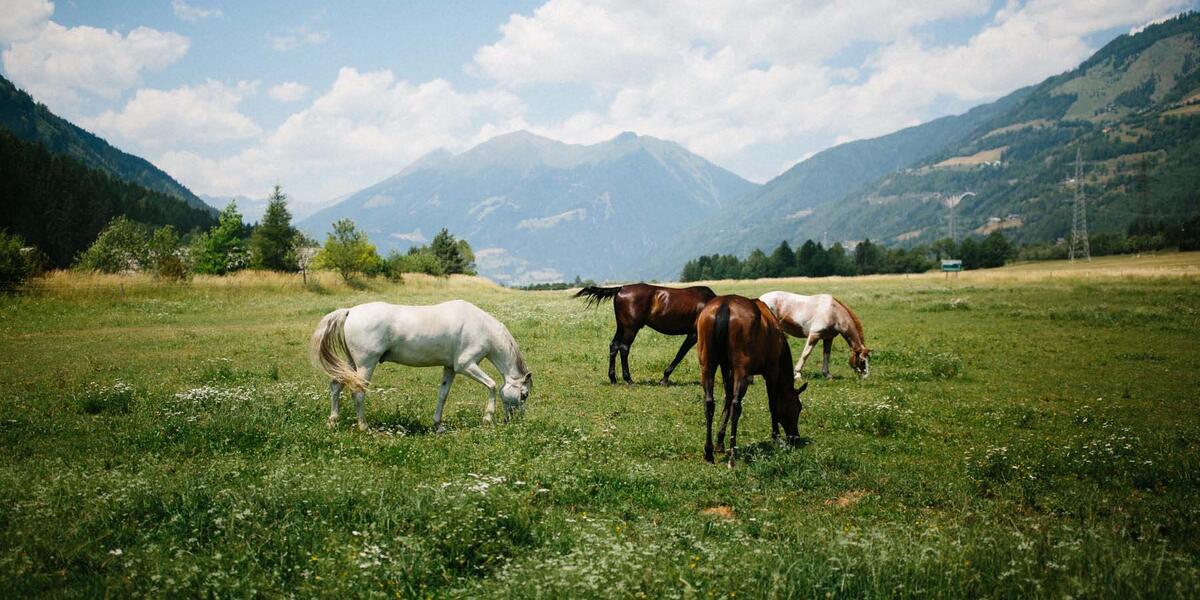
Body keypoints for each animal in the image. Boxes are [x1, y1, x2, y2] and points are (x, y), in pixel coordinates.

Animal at [310, 300, 532, 432]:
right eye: (524, 395)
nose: (515, 421)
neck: (481, 327)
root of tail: (350, 311)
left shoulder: (450, 368)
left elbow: (443, 395)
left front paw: (439, 426)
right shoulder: (465, 365)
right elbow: (492, 385)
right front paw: (487, 418)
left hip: (351, 364)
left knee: (336, 386)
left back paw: (332, 421)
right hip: (365, 364)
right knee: (358, 392)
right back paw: (364, 427)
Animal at [573, 283, 716, 385]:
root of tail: (621, 288)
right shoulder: (693, 334)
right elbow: (680, 354)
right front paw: (664, 379)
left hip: (621, 327)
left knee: (614, 346)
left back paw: (613, 379)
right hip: (631, 328)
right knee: (624, 348)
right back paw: (628, 379)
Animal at [696, 294, 807, 467]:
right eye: (798, 407)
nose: (795, 437)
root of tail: (725, 305)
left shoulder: (727, 368)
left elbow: (727, 398)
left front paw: (719, 442)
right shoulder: (771, 371)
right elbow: (773, 403)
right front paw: (776, 436)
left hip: (707, 365)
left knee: (709, 403)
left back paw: (709, 453)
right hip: (741, 370)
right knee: (736, 406)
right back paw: (732, 455)